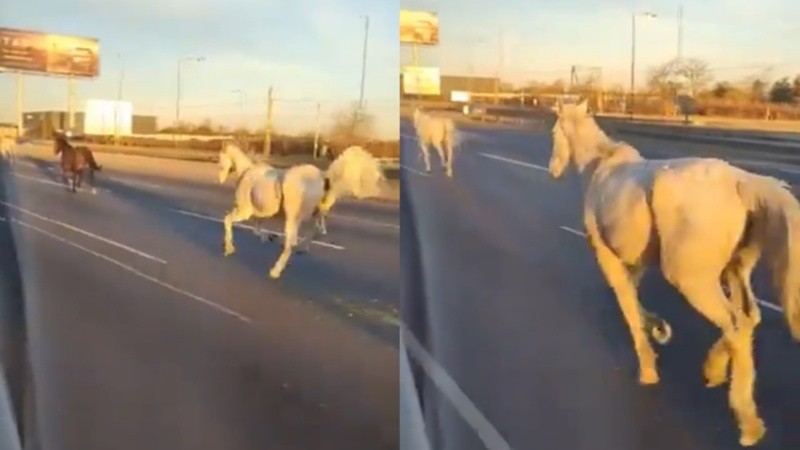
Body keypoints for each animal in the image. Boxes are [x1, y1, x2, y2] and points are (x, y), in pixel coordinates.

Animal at [219, 142, 388, 280]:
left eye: (221, 159)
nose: (220, 179)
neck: (246, 172)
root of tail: (322, 178)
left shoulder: (245, 211)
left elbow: (228, 220)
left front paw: (229, 249)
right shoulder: (260, 214)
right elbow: (257, 229)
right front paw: (269, 237)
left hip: (293, 217)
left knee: (292, 241)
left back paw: (276, 270)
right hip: (315, 214)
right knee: (316, 231)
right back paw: (300, 249)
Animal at [548, 99, 800, 446]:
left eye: (553, 132)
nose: (552, 168)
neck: (600, 165)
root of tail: (741, 182)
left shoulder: (608, 259)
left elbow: (628, 306)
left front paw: (648, 367)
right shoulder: (636, 263)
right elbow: (635, 301)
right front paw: (659, 328)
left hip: (691, 278)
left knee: (735, 324)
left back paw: (744, 419)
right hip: (734, 270)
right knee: (749, 318)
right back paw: (721, 379)